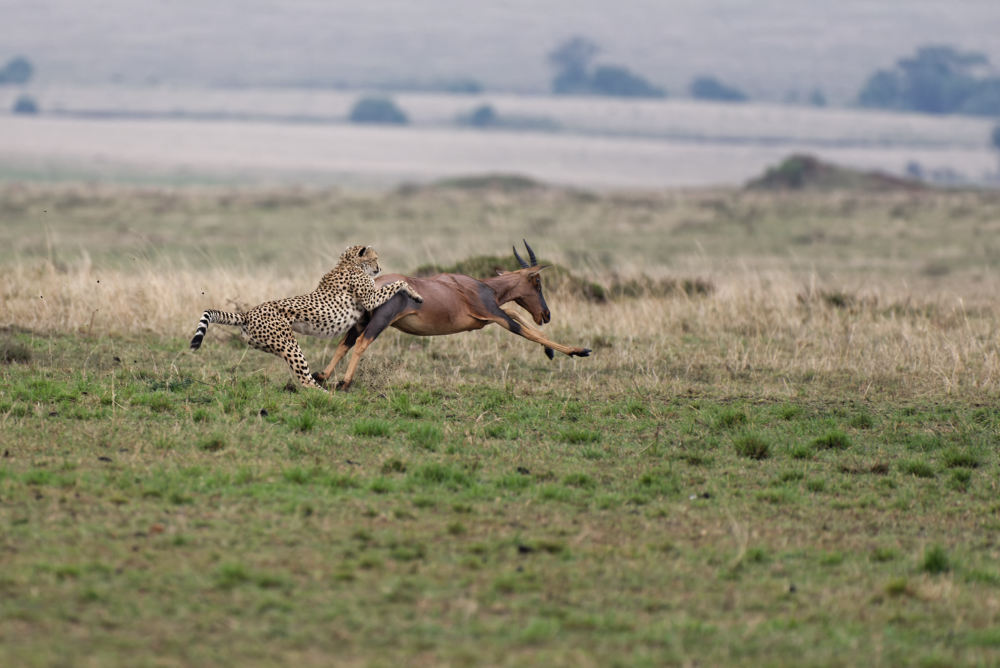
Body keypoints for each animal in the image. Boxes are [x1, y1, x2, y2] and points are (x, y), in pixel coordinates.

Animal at [190, 245, 422, 392]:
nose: (379, 268)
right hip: (289, 344)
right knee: (304, 379)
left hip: (268, 344)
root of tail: (248, 312)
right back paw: (327, 394)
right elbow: (397, 283)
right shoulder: (370, 299)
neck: (348, 263)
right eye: (373, 258)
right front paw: (415, 294)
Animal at [316, 240, 588, 388]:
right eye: (537, 282)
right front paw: (579, 350)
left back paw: (322, 376)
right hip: (380, 321)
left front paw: (550, 352)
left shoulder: (490, 315)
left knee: (344, 344)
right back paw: (344, 383)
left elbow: (515, 313)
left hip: (360, 322)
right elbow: (522, 329)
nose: (546, 314)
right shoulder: (492, 314)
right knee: (361, 343)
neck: (481, 286)